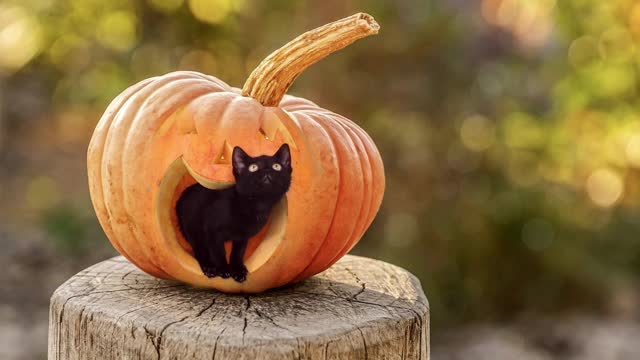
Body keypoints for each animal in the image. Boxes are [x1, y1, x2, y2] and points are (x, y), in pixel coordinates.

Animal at [178, 143, 292, 282]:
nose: (266, 171)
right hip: (193, 226)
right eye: (253, 168)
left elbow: (238, 252)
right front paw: (223, 269)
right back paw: (209, 267)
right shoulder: (212, 231)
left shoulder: (242, 236)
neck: (257, 204)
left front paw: (237, 270)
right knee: (199, 248)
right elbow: (218, 252)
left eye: (277, 166)